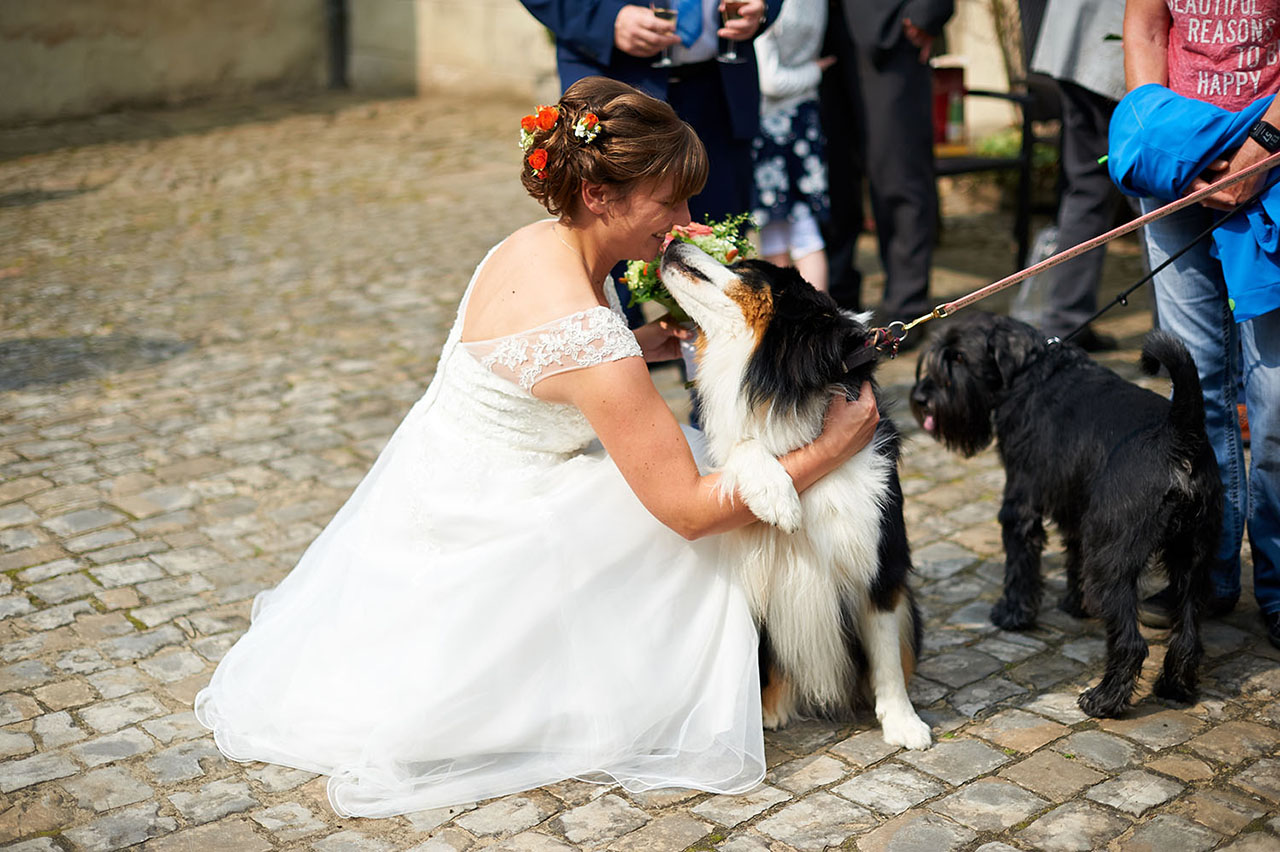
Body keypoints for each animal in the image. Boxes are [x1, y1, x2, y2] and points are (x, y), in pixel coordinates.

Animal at [660, 236, 931, 741]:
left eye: (744, 267)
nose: (670, 241)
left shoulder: (880, 557)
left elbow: (886, 651)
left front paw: (903, 723)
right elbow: (745, 448)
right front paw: (778, 499)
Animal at [911, 312, 1218, 716]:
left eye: (958, 358)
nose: (920, 398)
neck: (1030, 371)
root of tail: (1179, 437)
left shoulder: (1020, 503)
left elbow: (1020, 563)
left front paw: (1012, 614)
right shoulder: (1076, 508)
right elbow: (1073, 554)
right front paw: (1076, 604)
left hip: (1112, 561)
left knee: (1131, 644)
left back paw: (1103, 699)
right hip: (1191, 560)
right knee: (1188, 633)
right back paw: (1175, 688)